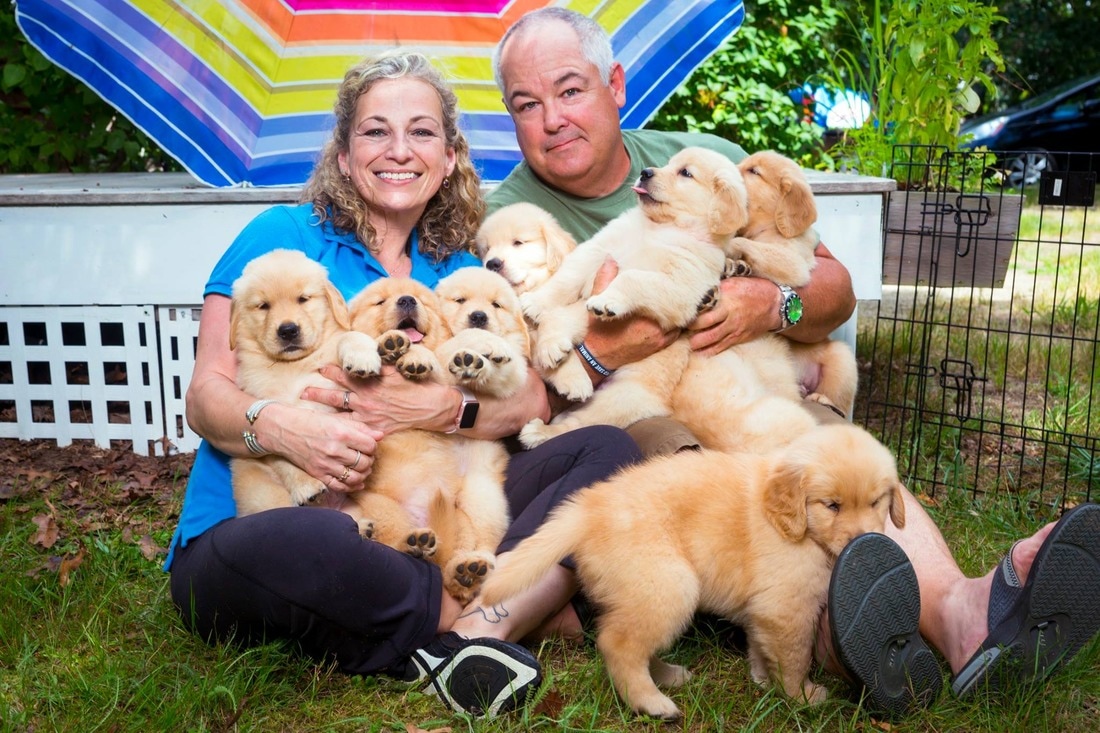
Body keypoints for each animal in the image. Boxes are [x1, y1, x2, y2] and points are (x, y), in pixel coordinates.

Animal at [227, 248, 378, 517]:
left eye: (303, 299)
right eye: (263, 306)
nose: (288, 330)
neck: (294, 366)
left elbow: (349, 336)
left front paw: (362, 356)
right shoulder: (275, 419)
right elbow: (284, 457)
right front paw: (307, 486)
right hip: (263, 494)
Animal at [343, 277, 510, 603]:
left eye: (420, 299)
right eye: (380, 301)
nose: (407, 300)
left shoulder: (445, 382)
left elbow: (444, 350)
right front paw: (393, 346)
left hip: (462, 521)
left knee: (452, 565)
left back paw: (466, 571)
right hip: (384, 510)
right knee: (396, 546)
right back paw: (412, 544)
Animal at [431, 265, 530, 396]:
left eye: (496, 304)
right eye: (460, 300)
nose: (479, 316)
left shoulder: (516, 371)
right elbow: (467, 333)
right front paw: (493, 342)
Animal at [486, 424, 906, 717]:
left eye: (876, 502)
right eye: (832, 505)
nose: (863, 539)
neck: (799, 529)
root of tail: (588, 508)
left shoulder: (764, 610)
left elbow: (761, 644)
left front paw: (762, 679)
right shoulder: (787, 608)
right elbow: (794, 657)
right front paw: (800, 695)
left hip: (643, 592)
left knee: (632, 639)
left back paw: (667, 677)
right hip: (669, 584)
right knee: (617, 643)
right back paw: (651, 702)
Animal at [514, 147, 748, 444]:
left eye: (685, 173)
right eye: (667, 163)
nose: (645, 172)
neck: (662, 228)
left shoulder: (682, 289)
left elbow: (633, 277)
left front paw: (607, 301)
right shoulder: (599, 248)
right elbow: (569, 276)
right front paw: (537, 301)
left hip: (621, 396)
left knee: (578, 422)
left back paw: (542, 430)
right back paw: (555, 354)